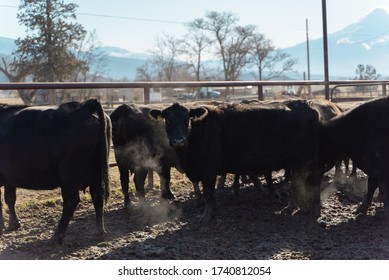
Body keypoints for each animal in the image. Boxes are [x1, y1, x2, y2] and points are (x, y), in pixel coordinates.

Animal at [0, 100, 110, 243]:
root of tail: (83, 106)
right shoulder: (9, 178)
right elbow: (10, 198)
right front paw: (13, 224)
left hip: (69, 176)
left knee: (71, 201)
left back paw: (57, 235)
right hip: (96, 173)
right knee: (97, 197)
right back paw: (99, 233)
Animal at [150, 102, 320, 223]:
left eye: (187, 120)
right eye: (168, 121)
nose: (179, 141)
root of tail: (309, 107)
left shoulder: (208, 171)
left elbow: (208, 193)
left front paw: (206, 216)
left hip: (307, 162)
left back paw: (310, 208)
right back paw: (296, 207)